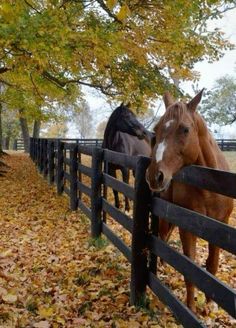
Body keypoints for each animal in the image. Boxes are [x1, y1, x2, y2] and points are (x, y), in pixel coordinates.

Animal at [145, 89, 233, 310]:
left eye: (184, 129)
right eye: (156, 129)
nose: (154, 176)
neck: (210, 188)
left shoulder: (220, 227)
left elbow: (212, 266)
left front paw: (211, 304)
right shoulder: (187, 229)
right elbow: (190, 271)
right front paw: (191, 308)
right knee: (162, 236)